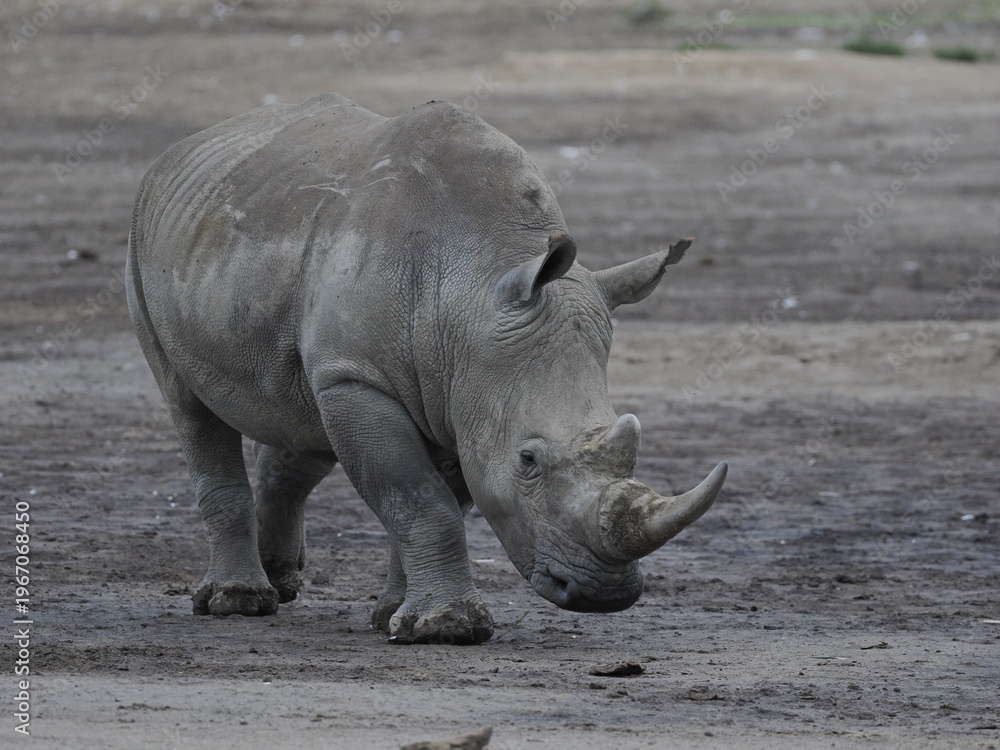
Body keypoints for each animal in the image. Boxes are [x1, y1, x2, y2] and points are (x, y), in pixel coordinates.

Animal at [125, 93, 727, 645]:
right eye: (528, 461)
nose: (604, 594)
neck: (472, 286)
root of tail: (178, 153)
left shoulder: (459, 393)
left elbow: (429, 498)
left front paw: (396, 616)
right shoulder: (361, 379)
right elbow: (420, 498)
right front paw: (447, 628)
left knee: (299, 413)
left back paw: (281, 580)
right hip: (142, 240)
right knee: (190, 406)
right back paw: (238, 602)